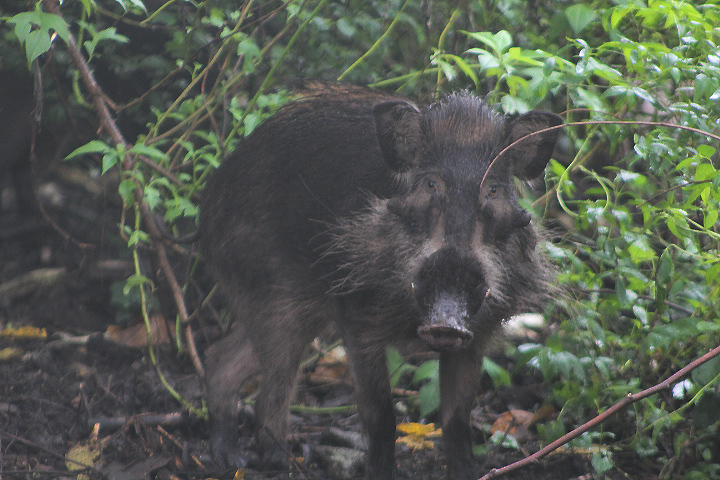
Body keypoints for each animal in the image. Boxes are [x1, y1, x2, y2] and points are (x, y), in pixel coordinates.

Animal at [200, 84, 561, 480]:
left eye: (493, 190)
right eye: (430, 184)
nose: (445, 323)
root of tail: (206, 208)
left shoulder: (475, 334)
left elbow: (456, 418)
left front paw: (469, 472)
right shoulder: (357, 318)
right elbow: (380, 414)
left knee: (222, 359)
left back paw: (235, 457)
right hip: (273, 294)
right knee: (270, 385)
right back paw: (268, 461)